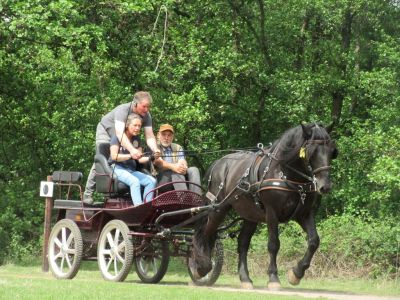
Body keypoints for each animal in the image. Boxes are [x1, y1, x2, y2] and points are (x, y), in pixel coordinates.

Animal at [190, 122, 338, 288]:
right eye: (311, 152)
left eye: (332, 151)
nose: (325, 186)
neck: (285, 173)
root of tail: (218, 163)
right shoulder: (271, 212)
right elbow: (274, 244)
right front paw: (273, 277)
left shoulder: (304, 214)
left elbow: (314, 241)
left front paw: (296, 273)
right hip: (218, 208)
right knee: (206, 233)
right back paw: (201, 266)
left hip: (250, 214)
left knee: (242, 242)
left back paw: (244, 278)